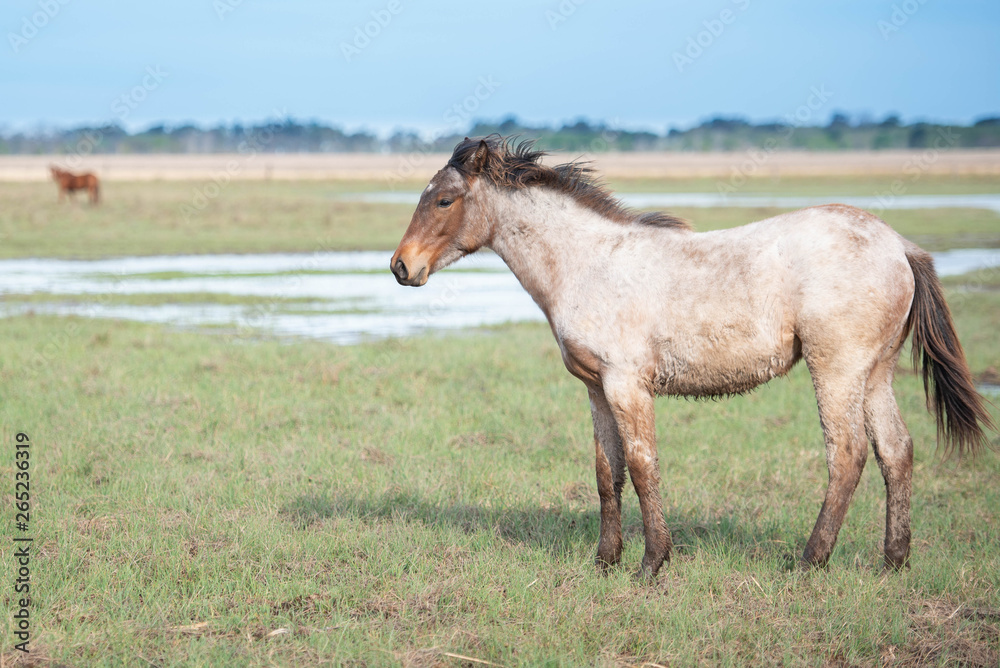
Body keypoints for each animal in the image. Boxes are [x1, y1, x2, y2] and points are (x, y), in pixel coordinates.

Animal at [390, 135, 995, 579]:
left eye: (444, 200)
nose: (400, 266)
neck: (587, 263)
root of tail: (899, 245)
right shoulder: (595, 388)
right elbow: (606, 471)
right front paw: (604, 561)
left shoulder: (627, 385)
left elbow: (641, 466)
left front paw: (652, 564)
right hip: (876, 372)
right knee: (897, 450)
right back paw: (894, 562)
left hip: (837, 368)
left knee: (847, 453)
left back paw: (809, 562)